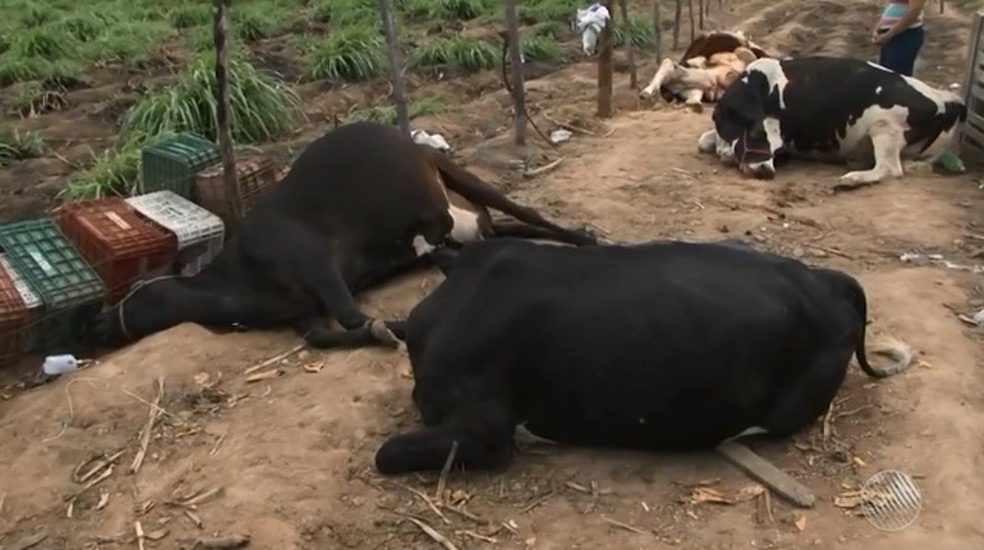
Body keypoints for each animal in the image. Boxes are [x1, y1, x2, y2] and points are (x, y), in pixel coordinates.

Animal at [96, 123, 596, 352]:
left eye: (142, 288)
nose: (99, 324)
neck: (238, 280)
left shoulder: (316, 264)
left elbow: (353, 315)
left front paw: (394, 328)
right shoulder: (304, 313)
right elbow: (326, 335)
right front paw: (385, 330)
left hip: (450, 179)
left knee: (520, 212)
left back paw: (587, 240)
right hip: (471, 219)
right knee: (499, 229)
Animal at [700, 56, 968, 187]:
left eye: (777, 149)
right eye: (755, 134)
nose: (766, 171)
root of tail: (945, 100)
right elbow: (704, 140)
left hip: (885, 127)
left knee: (890, 168)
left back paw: (849, 180)